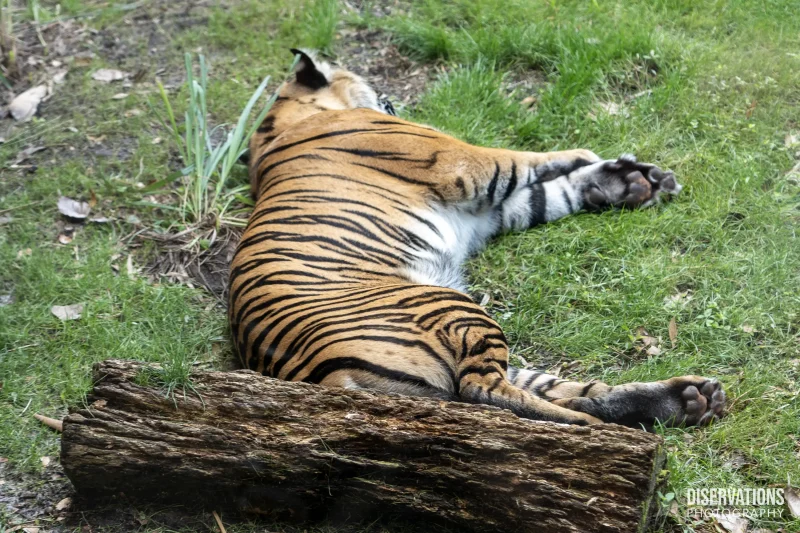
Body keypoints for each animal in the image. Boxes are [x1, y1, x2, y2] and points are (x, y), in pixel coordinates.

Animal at [229, 49, 725, 429]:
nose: (388, 98)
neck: (280, 126)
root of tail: (326, 383)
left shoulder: (489, 212)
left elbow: (550, 192)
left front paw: (630, 183)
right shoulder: (465, 164)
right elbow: (525, 158)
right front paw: (597, 160)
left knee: (548, 389)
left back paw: (689, 399)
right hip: (453, 310)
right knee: (484, 392)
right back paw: (599, 423)